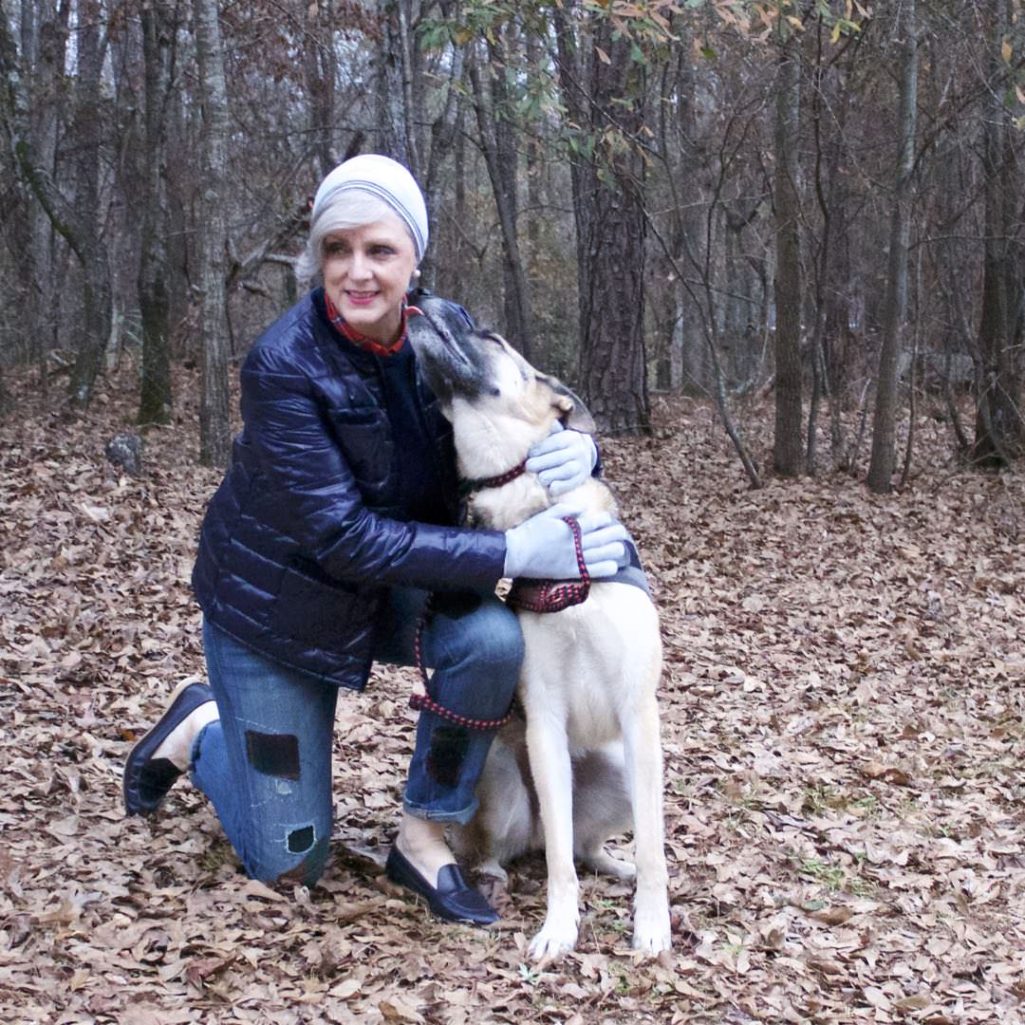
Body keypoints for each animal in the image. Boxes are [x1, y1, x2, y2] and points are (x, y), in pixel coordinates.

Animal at [407, 321, 672, 959]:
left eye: (490, 337)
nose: (426, 306)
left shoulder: (639, 714)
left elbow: (653, 846)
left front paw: (652, 924)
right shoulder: (546, 721)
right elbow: (557, 861)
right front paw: (560, 927)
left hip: (624, 767)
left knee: (584, 845)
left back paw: (617, 866)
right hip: (500, 775)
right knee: (517, 846)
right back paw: (491, 872)